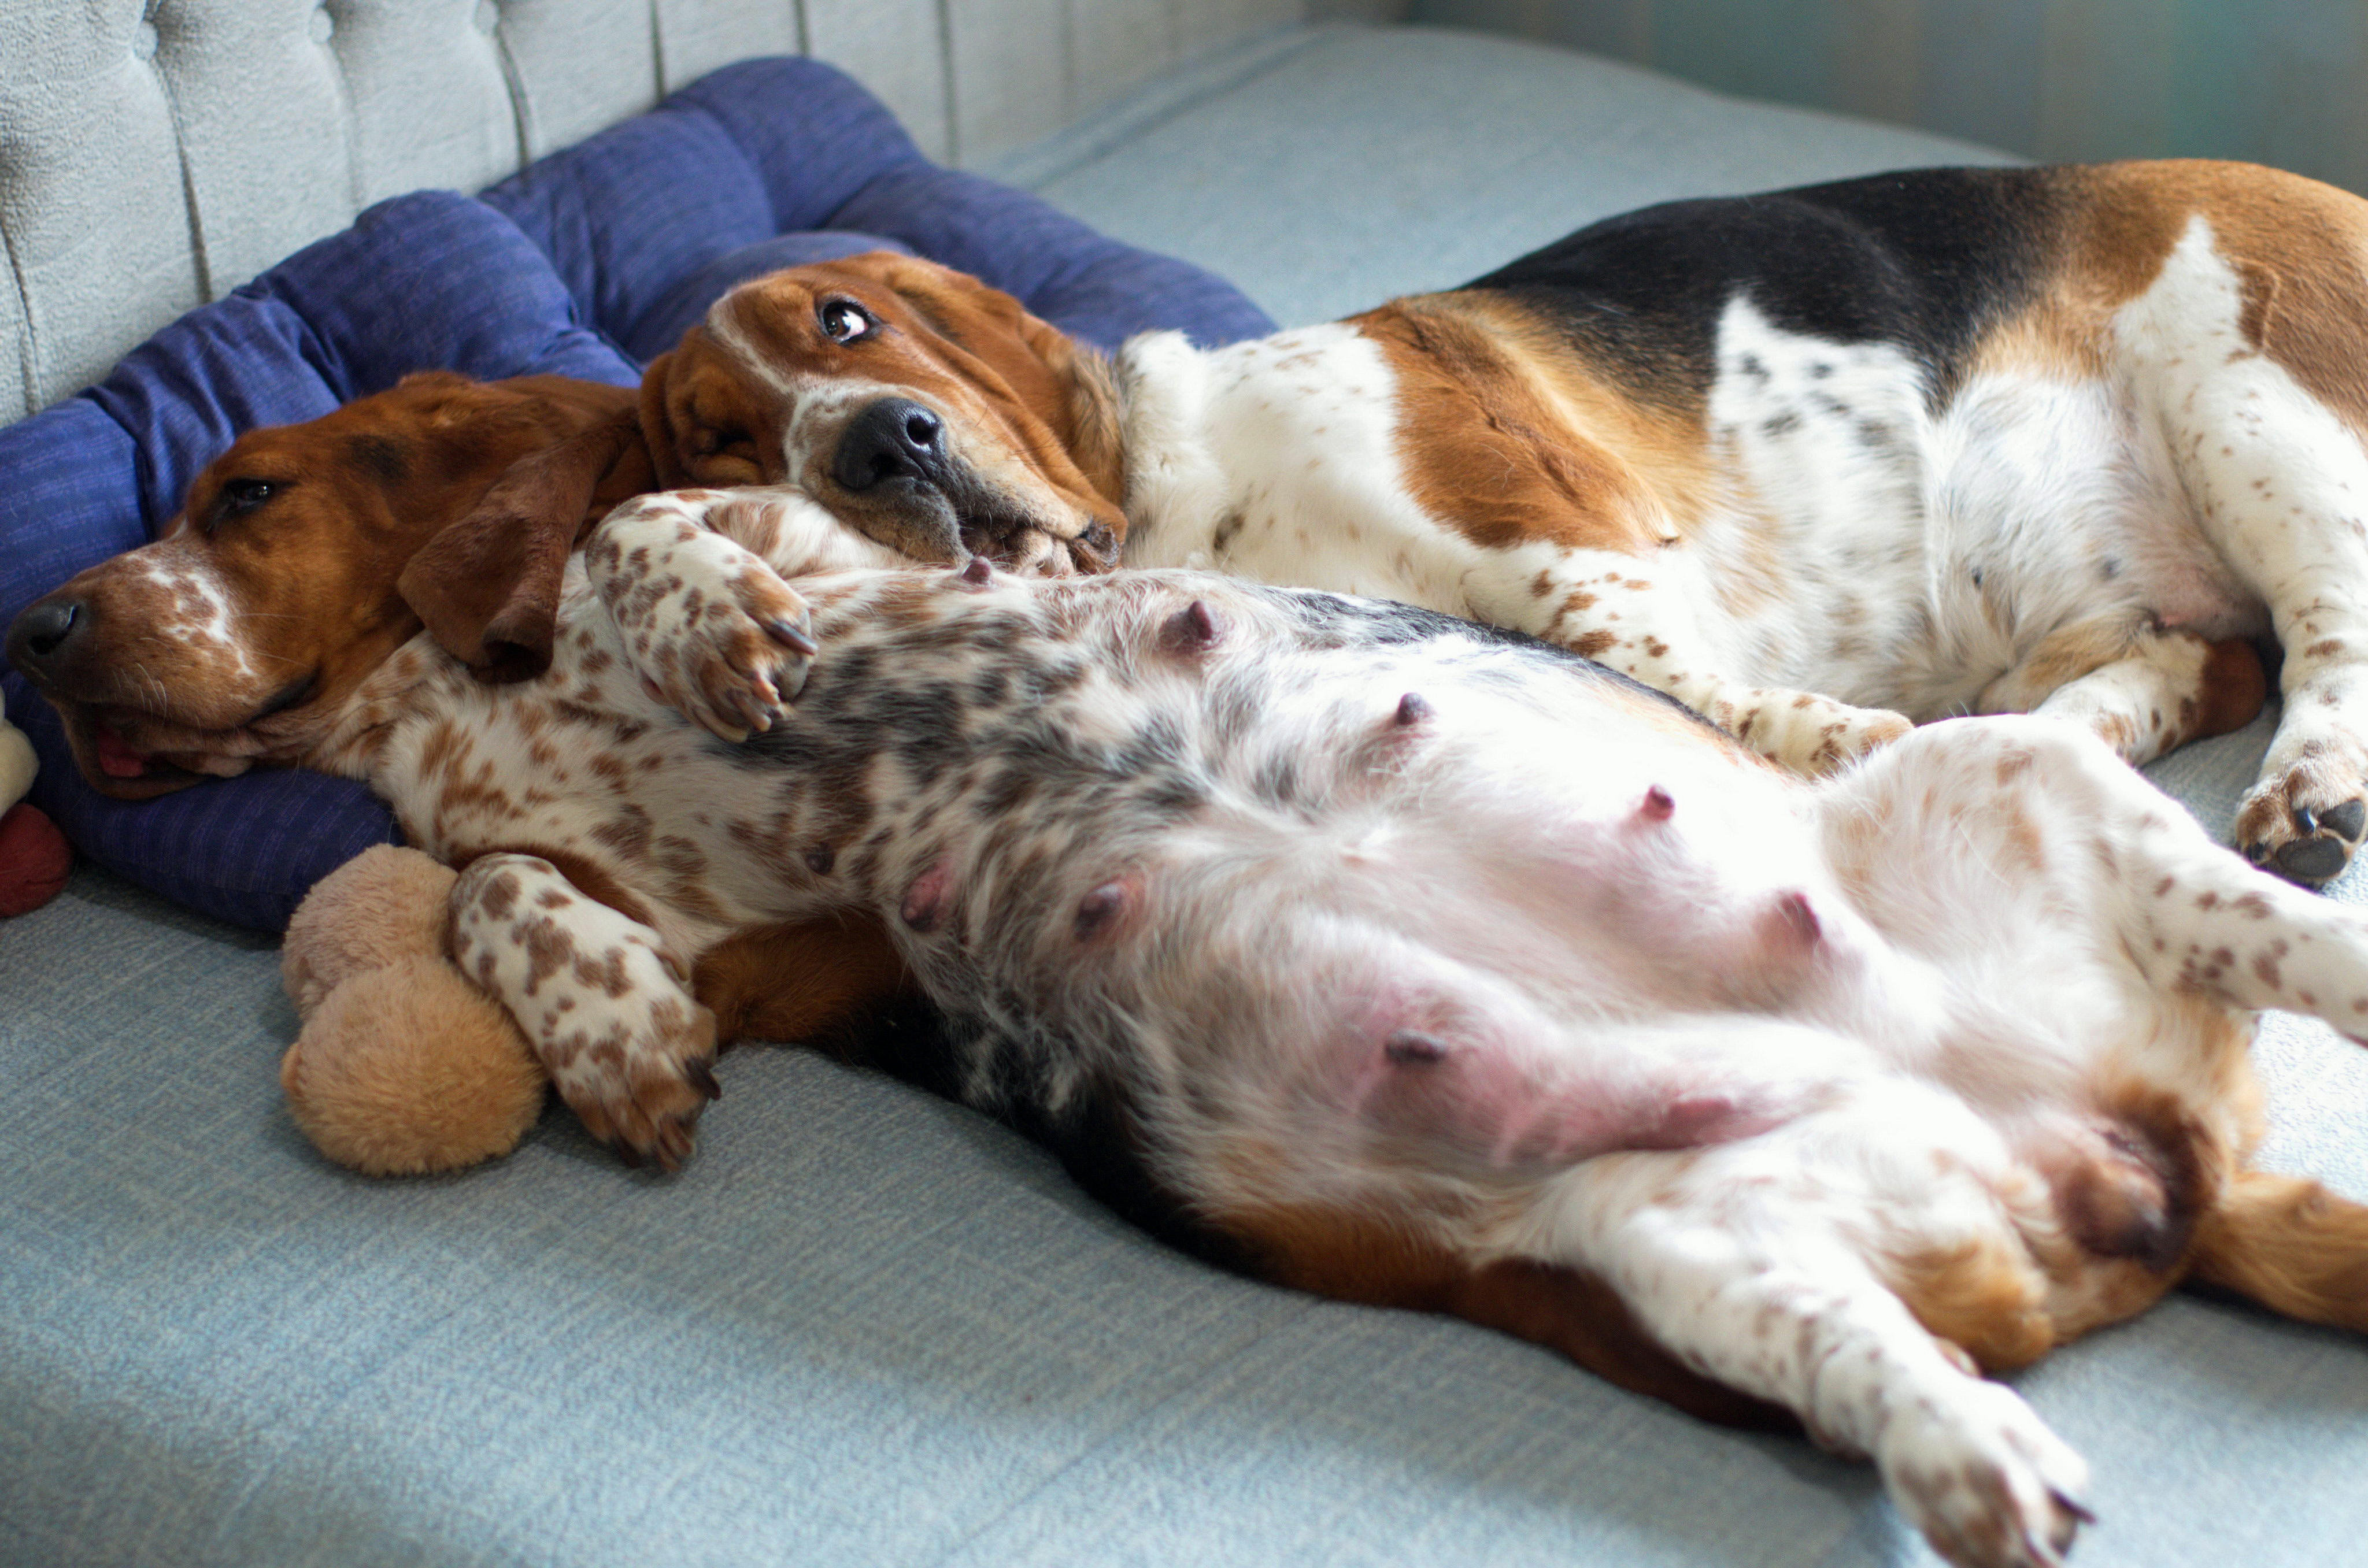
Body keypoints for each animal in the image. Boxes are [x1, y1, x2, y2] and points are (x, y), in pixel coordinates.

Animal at [625, 165, 2368, 890]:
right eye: (721, 436)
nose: (877, 444)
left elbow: (1648, 660)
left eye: (848, 322)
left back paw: (2306, 793)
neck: (1197, 501)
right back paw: (2047, 739)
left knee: (2324, 643)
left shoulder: (1553, 524)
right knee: (2191, 667)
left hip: (2256, 414)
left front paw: (1823, 734)